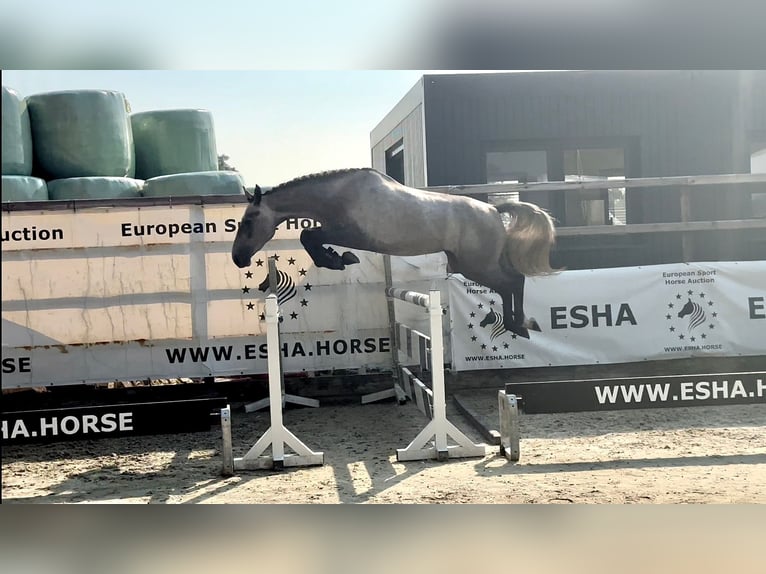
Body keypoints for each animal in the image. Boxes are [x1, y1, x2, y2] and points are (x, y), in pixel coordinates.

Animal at [230, 168, 560, 338]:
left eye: (249, 221)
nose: (238, 259)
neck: (339, 194)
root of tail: (494, 210)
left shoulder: (353, 234)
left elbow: (308, 235)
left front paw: (338, 260)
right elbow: (311, 236)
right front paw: (338, 258)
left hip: (477, 265)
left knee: (512, 282)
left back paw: (520, 325)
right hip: (474, 264)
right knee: (512, 281)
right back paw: (523, 324)